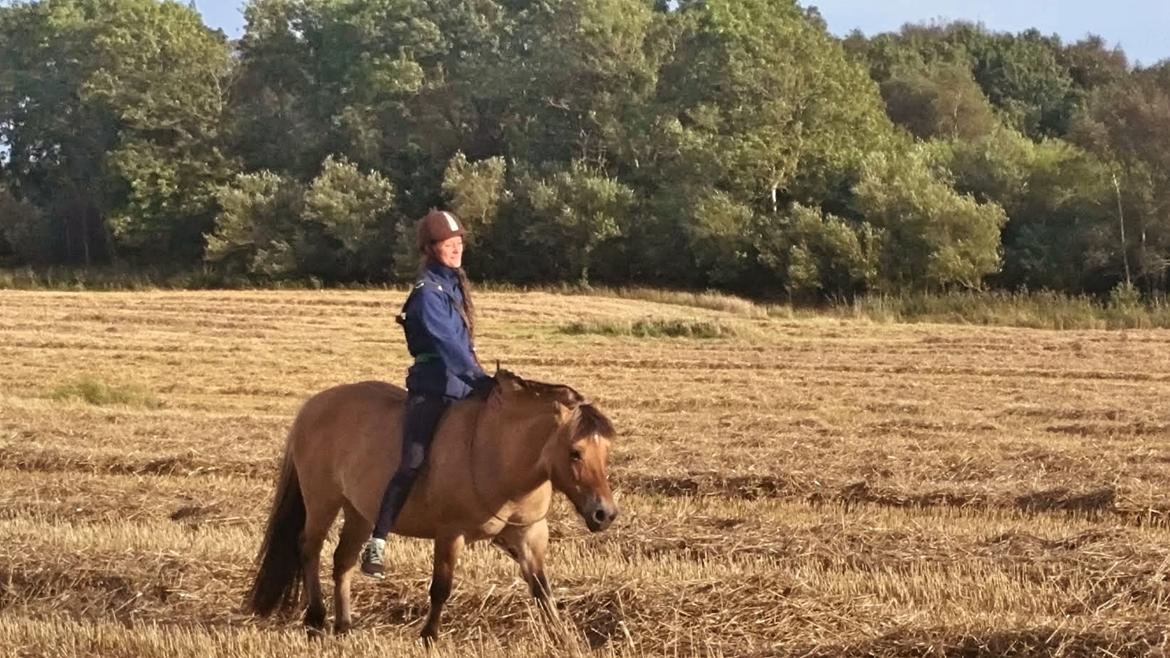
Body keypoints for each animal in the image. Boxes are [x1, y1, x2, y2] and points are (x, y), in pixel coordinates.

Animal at [248, 369, 622, 641]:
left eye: (606, 451)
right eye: (575, 452)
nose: (604, 514)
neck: (500, 452)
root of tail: (312, 405)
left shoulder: (528, 537)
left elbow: (543, 590)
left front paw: (563, 637)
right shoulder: (449, 534)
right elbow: (441, 587)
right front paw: (429, 635)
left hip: (360, 511)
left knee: (343, 560)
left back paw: (344, 625)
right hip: (321, 500)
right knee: (309, 549)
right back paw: (316, 619)